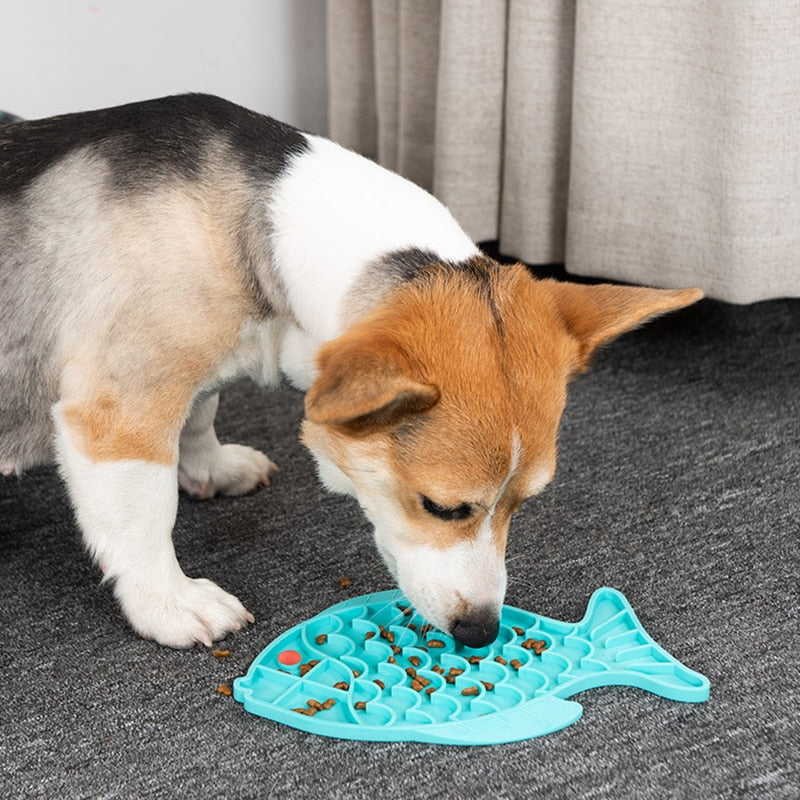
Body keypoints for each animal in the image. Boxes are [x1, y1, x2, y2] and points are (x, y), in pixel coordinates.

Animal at [0, 94, 700, 648]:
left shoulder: (194, 369)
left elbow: (201, 413)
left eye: (524, 503)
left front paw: (210, 468)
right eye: (441, 507)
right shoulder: (121, 412)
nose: (481, 633)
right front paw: (169, 603)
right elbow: (145, 516)